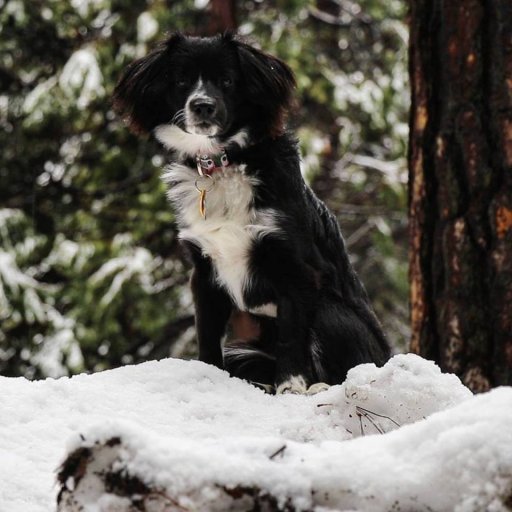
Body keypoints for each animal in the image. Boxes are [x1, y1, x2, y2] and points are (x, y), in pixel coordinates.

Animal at [115, 32, 388, 394]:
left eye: (228, 80)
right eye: (182, 80)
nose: (202, 105)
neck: (223, 163)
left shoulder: (295, 268)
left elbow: (291, 337)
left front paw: (290, 387)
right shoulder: (205, 270)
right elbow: (207, 334)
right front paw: (208, 377)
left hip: (330, 311)